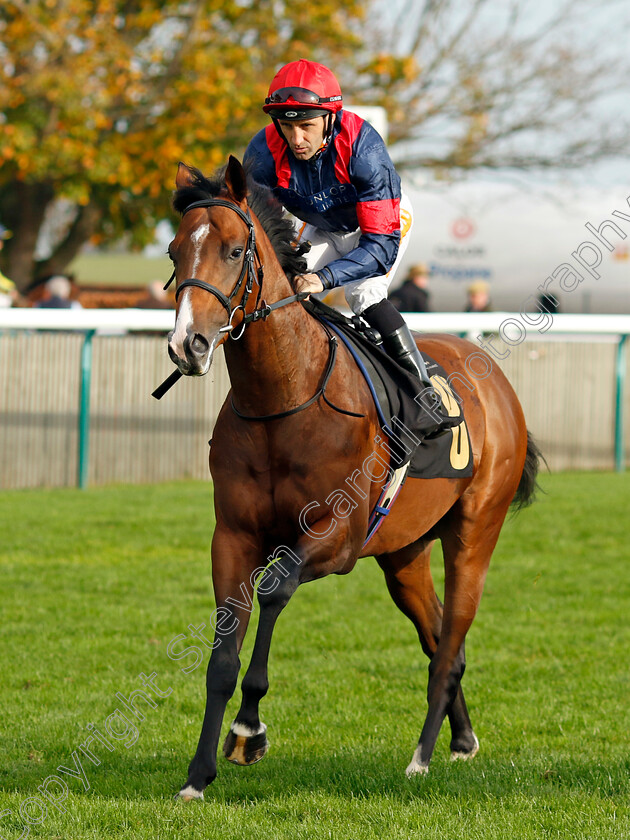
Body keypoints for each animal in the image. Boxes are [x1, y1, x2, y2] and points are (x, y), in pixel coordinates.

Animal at [164, 158, 544, 800]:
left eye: (236, 250)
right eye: (173, 252)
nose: (186, 345)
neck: (282, 400)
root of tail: (494, 378)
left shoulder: (337, 537)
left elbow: (275, 590)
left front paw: (247, 731)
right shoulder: (233, 536)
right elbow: (221, 656)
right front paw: (199, 773)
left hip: (474, 535)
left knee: (451, 643)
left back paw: (421, 756)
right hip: (404, 553)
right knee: (438, 638)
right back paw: (462, 739)